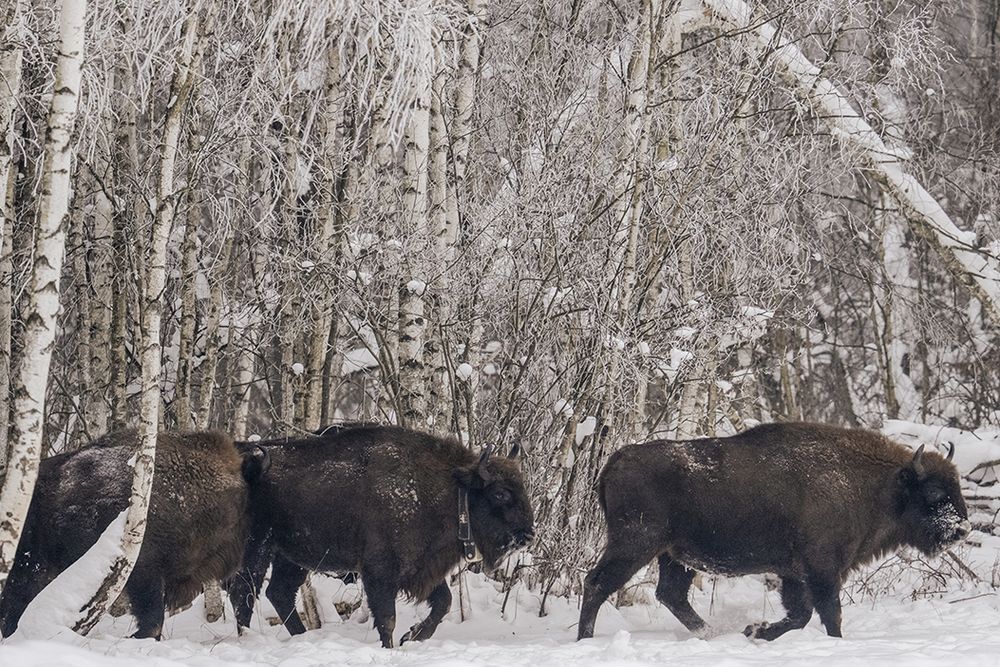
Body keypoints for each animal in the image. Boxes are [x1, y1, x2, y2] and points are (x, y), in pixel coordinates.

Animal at [227, 424, 534, 648]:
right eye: (500, 493)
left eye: (522, 487)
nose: (528, 535)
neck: (453, 491)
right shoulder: (380, 572)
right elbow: (387, 617)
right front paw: (392, 645)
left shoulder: (422, 568)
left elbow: (443, 603)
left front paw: (412, 636)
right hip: (257, 549)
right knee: (244, 593)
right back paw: (247, 641)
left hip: (291, 557)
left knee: (278, 593)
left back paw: (301, 636)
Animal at [577, 422, 970, 641]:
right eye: (935, 494)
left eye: (956, 487)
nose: (962, 528)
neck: (876, 485)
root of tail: (616, 460)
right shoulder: (822, 570)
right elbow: (828, 613)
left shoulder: (794, 574)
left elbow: (801, 614)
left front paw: (755, 631)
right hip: (634, 545)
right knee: (597, 584)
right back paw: (585, 640)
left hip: (674, 556)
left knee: (670, 594)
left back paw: (710, 634)